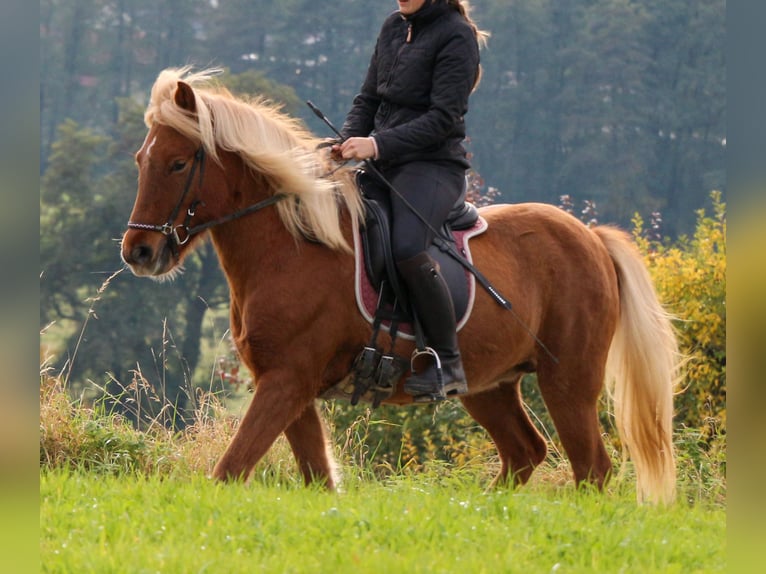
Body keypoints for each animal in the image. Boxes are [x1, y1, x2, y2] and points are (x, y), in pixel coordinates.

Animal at [121, 68, 680, 504]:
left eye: (177, 163)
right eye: (140, 160)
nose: (138, 252)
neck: (294, 246)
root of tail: (591, 237)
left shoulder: (286, 381)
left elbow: (229, 471)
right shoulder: (287, 383)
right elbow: (316, 479)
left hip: (568, 381)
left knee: (592, 469)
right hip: (490, 385)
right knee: (525, 452)